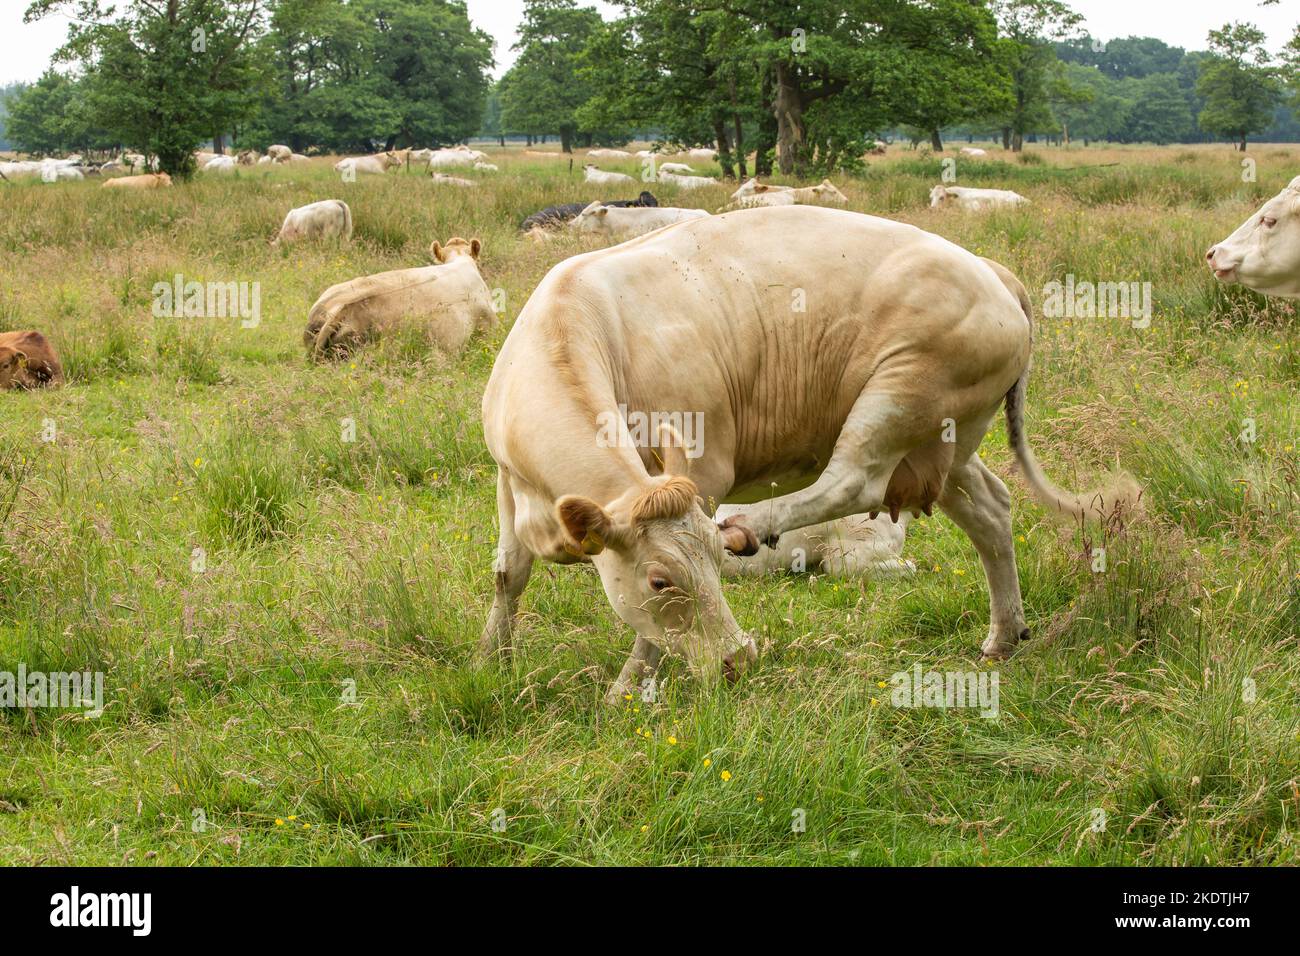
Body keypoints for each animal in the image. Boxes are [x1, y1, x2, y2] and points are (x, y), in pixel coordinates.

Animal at [479, 206, 1137, 702]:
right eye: (661, 581)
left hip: (900, 395)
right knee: (992, 513)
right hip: (943, 446)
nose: (739, 660)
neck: (575, 325)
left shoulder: (704, 469)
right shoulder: (509, 485)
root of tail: (991, 270)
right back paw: (1004, 635)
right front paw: (491, 661)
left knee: (855, 481)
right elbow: (508, 574)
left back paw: (755, 522)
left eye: (712, 564)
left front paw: (627, 690)